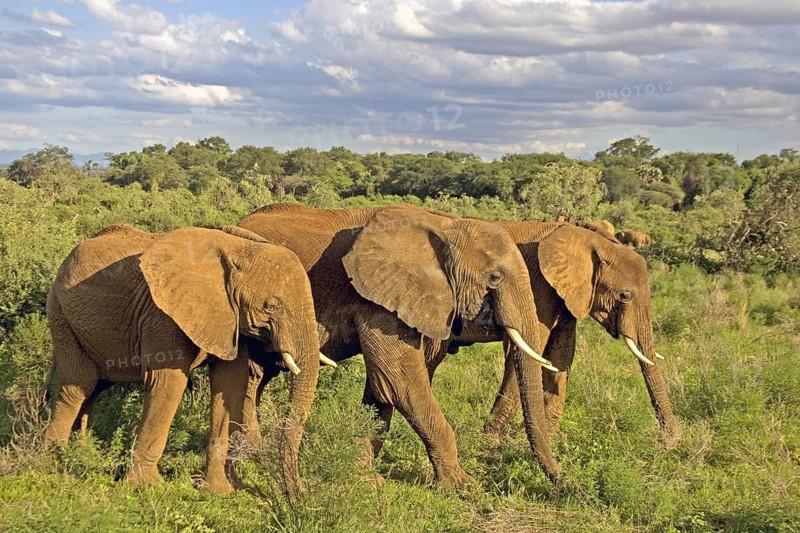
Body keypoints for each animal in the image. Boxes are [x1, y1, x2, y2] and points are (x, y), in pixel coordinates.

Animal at [43, 224, 321, 496]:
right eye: (271, 305)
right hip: (60, 314)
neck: (238, 248)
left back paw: (79, 451)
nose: (298, 496)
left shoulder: (231, 320)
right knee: (78, 386)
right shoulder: (162, 315)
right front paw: (146, 486)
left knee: (95, 386)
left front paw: (218, 492)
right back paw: (51, 463)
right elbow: (169, 382)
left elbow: (229, 384)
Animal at [237, 203, 565, 489]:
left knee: (258, 378)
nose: (561, 484)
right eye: (494, 277)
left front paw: (367, 478)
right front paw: (462, 487)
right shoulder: (376, 299)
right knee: (251, 377)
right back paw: (250, 459)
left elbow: (381, 387)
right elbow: (400, 379)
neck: (444, 226)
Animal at [425, 221, 679, 448]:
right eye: (625, 296)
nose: (669, 441)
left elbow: (561, 355)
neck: (588, 239)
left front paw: (556, 437)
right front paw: (490, 440)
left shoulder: (564, 295)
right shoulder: (539, 289)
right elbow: (528, 352)